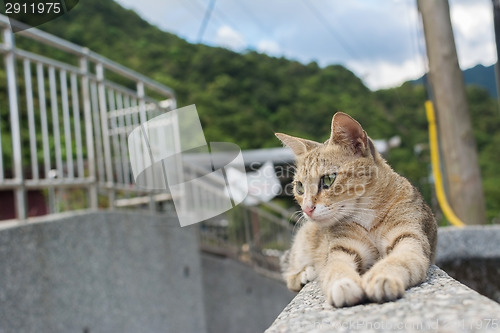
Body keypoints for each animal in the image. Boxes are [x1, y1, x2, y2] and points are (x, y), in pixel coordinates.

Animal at [278, 111, 438, 306]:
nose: (307, 208)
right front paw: (343, 284)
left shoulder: (410, 238)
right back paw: (304, 274)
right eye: (300, 187)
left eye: (329, 179)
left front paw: (381, 276)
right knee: (290, 275)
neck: (369, 218)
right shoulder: (342, 249)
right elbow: (336, 267)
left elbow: (398, 259)